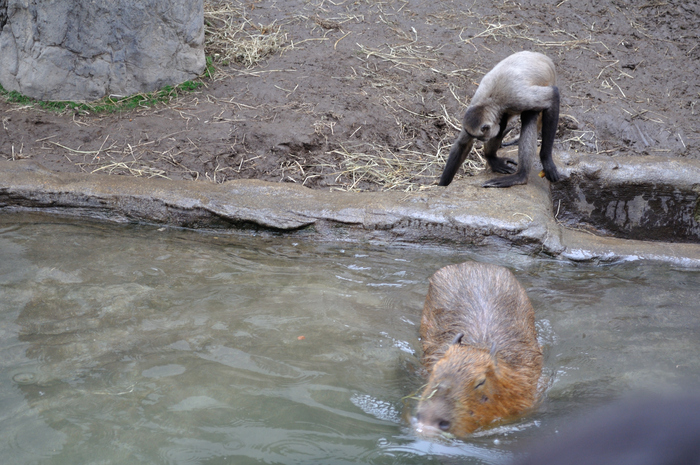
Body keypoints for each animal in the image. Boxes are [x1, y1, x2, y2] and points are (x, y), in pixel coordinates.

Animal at [438, 49, 564, 188]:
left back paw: (520, 176)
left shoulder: (517, 98)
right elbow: (463, 145)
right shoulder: (474, 105)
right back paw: (492, 158)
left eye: (481, 138)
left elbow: (553, 96)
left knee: (528, 115)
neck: (490, 100)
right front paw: (442, 185)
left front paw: (546, 161)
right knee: (504, 121)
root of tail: (543, 57)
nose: (482, 140)